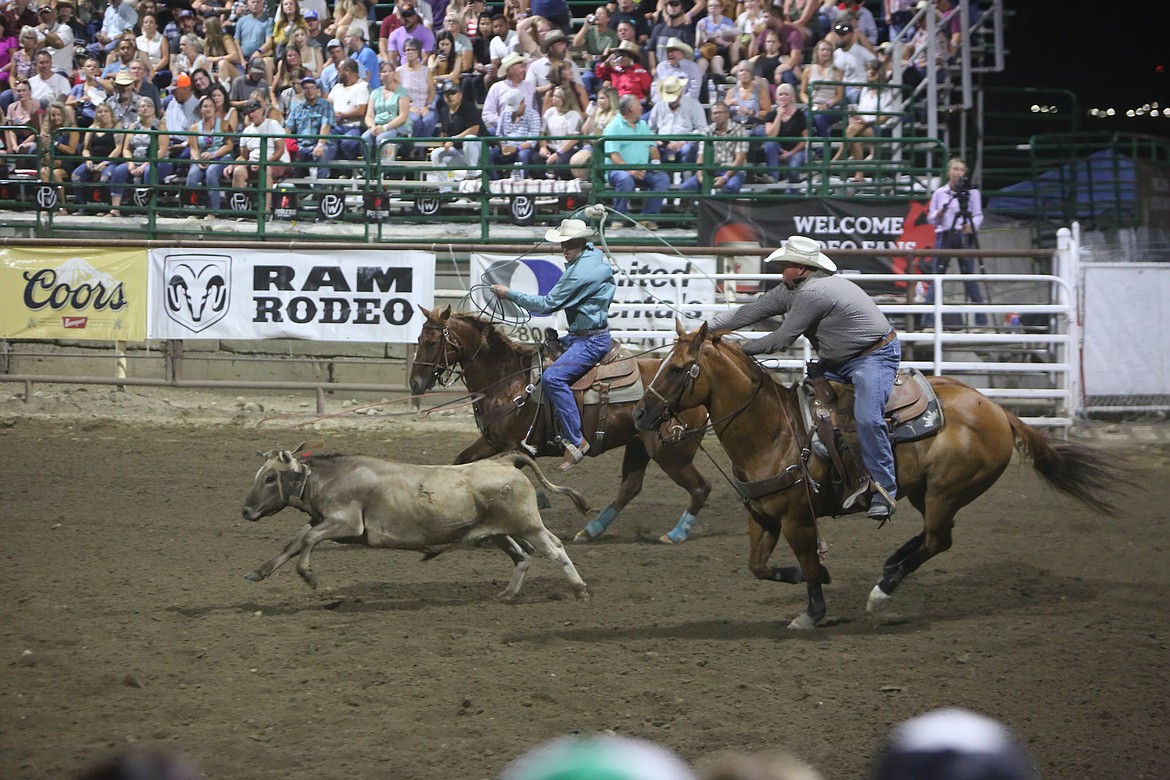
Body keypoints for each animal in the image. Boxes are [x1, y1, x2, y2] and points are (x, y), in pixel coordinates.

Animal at [402, 304, 711, 542]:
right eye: (418, 337)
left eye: (431, 342)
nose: (415, 383)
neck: (507, 381)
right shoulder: (491, 442)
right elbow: (460, 463)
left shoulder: (517, 447)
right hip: (639, 446)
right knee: (630, 488)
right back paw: (590, 531)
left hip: (671, 453)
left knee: (700, 488)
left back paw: (676, 534)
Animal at [636, 320, 1118, 631]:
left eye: (676, 368)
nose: (641, 414)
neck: (775, 430)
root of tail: (999, 411)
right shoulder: (762, 515)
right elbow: (759, 566)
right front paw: (807, 580)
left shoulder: (797, 518)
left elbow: (808, 562)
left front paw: (812, 611)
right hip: (925, 491)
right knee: (932, 537)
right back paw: (891, 564)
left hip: (946, 491)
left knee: (938, 540)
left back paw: (884, 588)